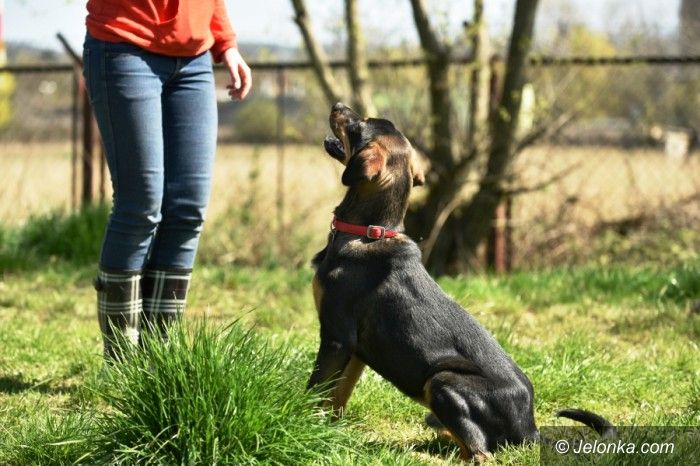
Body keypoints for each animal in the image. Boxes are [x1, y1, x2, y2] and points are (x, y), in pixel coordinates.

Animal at [308, 103, 614, 462]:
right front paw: (329, 435)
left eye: (359, 125)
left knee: (481, 453)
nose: (338, 106)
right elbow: (337, 397)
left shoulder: (336, 337)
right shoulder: (356, 350)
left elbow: (315, 390)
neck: (367, 232)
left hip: (442, 381)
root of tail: (530, 429)